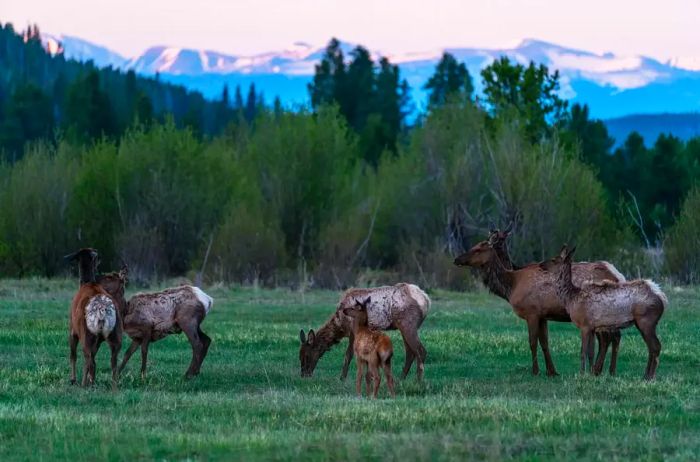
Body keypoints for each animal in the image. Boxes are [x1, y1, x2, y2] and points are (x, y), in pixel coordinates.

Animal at [65, 247, 122, 388]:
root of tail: (102, 310)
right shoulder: (99, 340)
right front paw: (93, 379)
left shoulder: (72, 329)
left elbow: (73, 356)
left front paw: (72, 379)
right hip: (116, 333)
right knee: (112, 361)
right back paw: (112, 384)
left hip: (85, 332)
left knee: (87, 359)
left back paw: (83, 384)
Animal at [298, 284, 430, 380]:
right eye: (299, 356)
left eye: (306, 355)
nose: (304, 375)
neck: (340, 324)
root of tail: (426, 300)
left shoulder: (352, 329)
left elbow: (348, 355)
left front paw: (342, 378)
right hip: (403, 327)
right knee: (411, 353)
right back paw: (401, 379)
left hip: (408, 324)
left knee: (421, 351)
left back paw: (418, 381)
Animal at [456, 231, 628, 376]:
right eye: (474, 246)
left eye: (478, 249)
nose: (457, 259)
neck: (511, 285)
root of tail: (619, 276)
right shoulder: (542, 315)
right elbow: (544, 342)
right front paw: (552, 371)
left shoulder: (531, 312)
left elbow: (532, 342)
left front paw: (536, 371)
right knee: (611, 338)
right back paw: (604, 370)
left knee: (610, 338)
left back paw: (602, 370)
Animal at [540, 245, 668, 378]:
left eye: (554, 260)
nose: (541, 265)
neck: (570, 298)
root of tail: (662, 299)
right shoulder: (591, 326)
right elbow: (591, 352)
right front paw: (590, 373)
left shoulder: (584, 325)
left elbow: (582, 351)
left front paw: (581, 373)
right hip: (642, 323)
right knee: (651, 347)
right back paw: (646, 375)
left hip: (646, 321)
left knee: (656, 346)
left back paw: (650, 376)